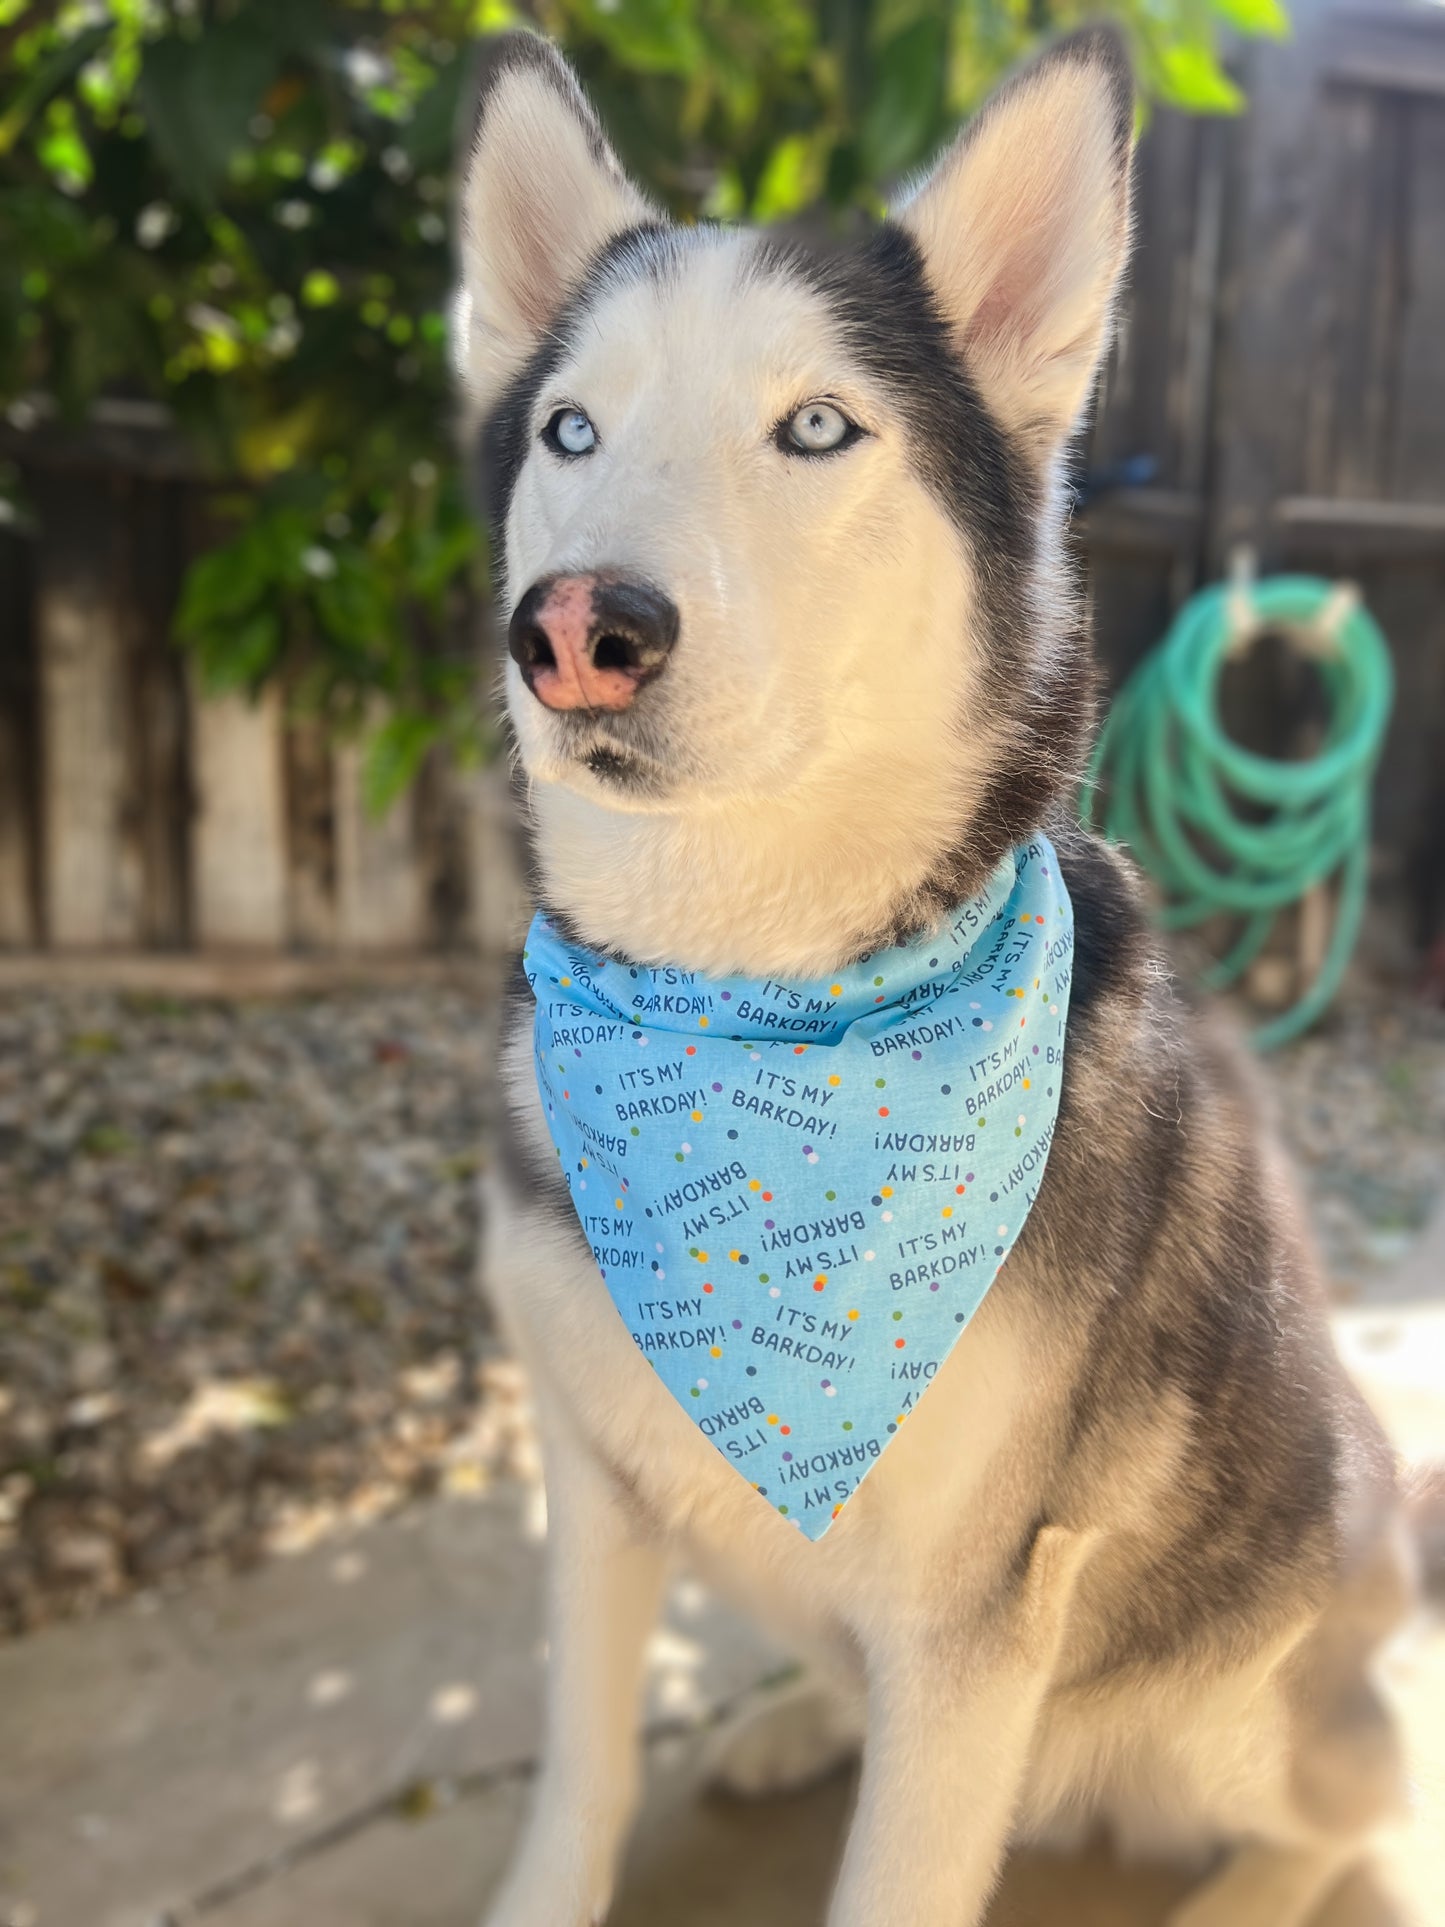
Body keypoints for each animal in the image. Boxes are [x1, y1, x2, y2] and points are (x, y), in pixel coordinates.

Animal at [460, 30, 1418, 1927]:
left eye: (819, 425)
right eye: (568, 428)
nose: (576, 628)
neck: (746, 1003)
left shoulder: (977, 1611)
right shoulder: (590, 1489)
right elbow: (580, 1780)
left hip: (1241, 1663)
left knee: (1345, 1806)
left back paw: (1241, 1891)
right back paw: (786, 1719)